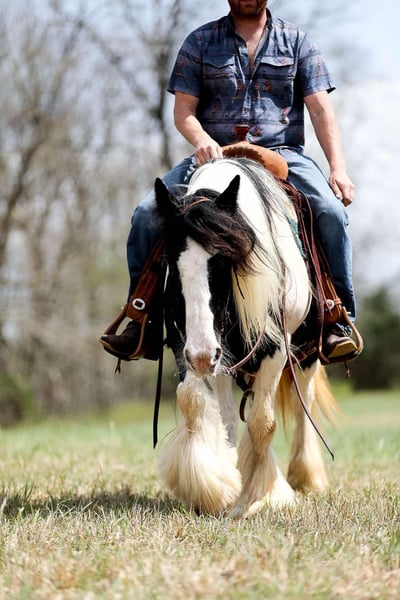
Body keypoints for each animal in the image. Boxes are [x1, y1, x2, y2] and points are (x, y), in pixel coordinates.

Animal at [154, 157, 337, 518]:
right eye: (171, 264)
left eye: (223, 261)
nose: (200, 356)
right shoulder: (205, 350)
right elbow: (208, 409)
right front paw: (216, 490)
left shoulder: (276, 349)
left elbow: (262, 423)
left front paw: (256, 497)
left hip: (307, 356)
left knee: (302, 403)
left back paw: (305, 477)